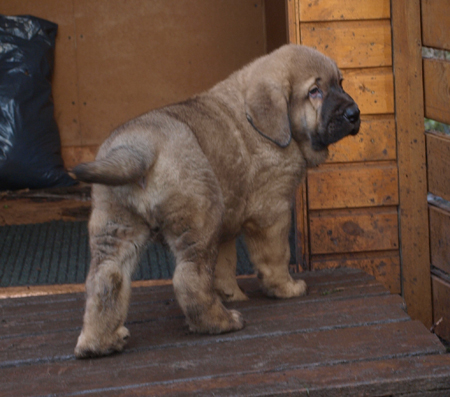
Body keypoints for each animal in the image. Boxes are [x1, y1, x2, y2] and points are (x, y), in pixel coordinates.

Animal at [74, 44, 362, 358]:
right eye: (314, 91)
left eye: (340, 83)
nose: (354, 113)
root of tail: (138, 148)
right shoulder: (272, 212)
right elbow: (276, 257)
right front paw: (286, 288)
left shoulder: (227, 224)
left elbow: (225, 265)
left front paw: (232, 294)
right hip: (201, 218)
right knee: (189, 280)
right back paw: (220, 322)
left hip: (115, 227)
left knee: (106, 280)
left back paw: (99, 342)